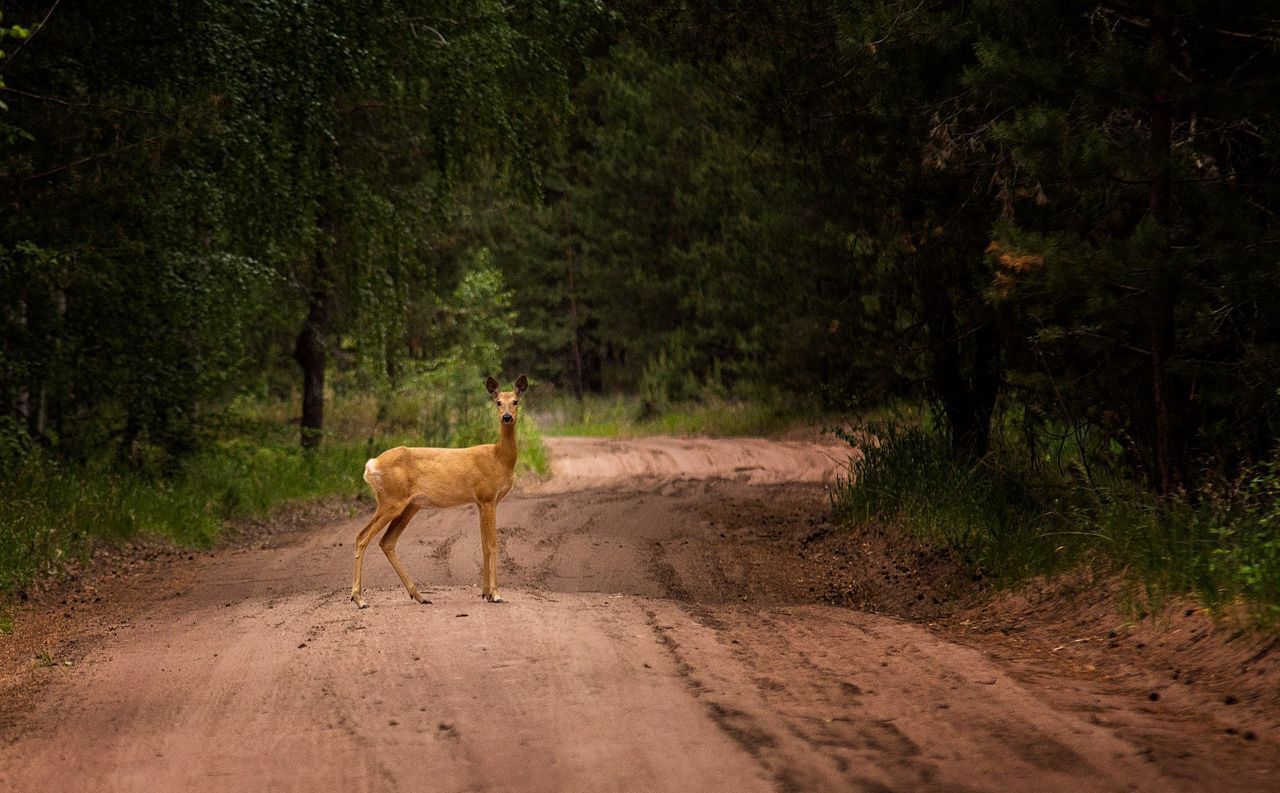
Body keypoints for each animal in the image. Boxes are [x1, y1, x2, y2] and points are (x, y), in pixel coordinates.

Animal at [350, 376, 524, 611]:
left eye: (515, 401)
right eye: (498, 402)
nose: (506, 417)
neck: (499, 459)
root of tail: (371, 465)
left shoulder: (481, 501)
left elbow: (483, 545)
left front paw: (485, 593)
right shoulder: (488, 496)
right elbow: (492, 544)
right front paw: (496, 594)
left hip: (410, 505)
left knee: (386, 541)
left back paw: (419, 595)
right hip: (391, 501)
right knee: (362, 536)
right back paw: (359, 599)